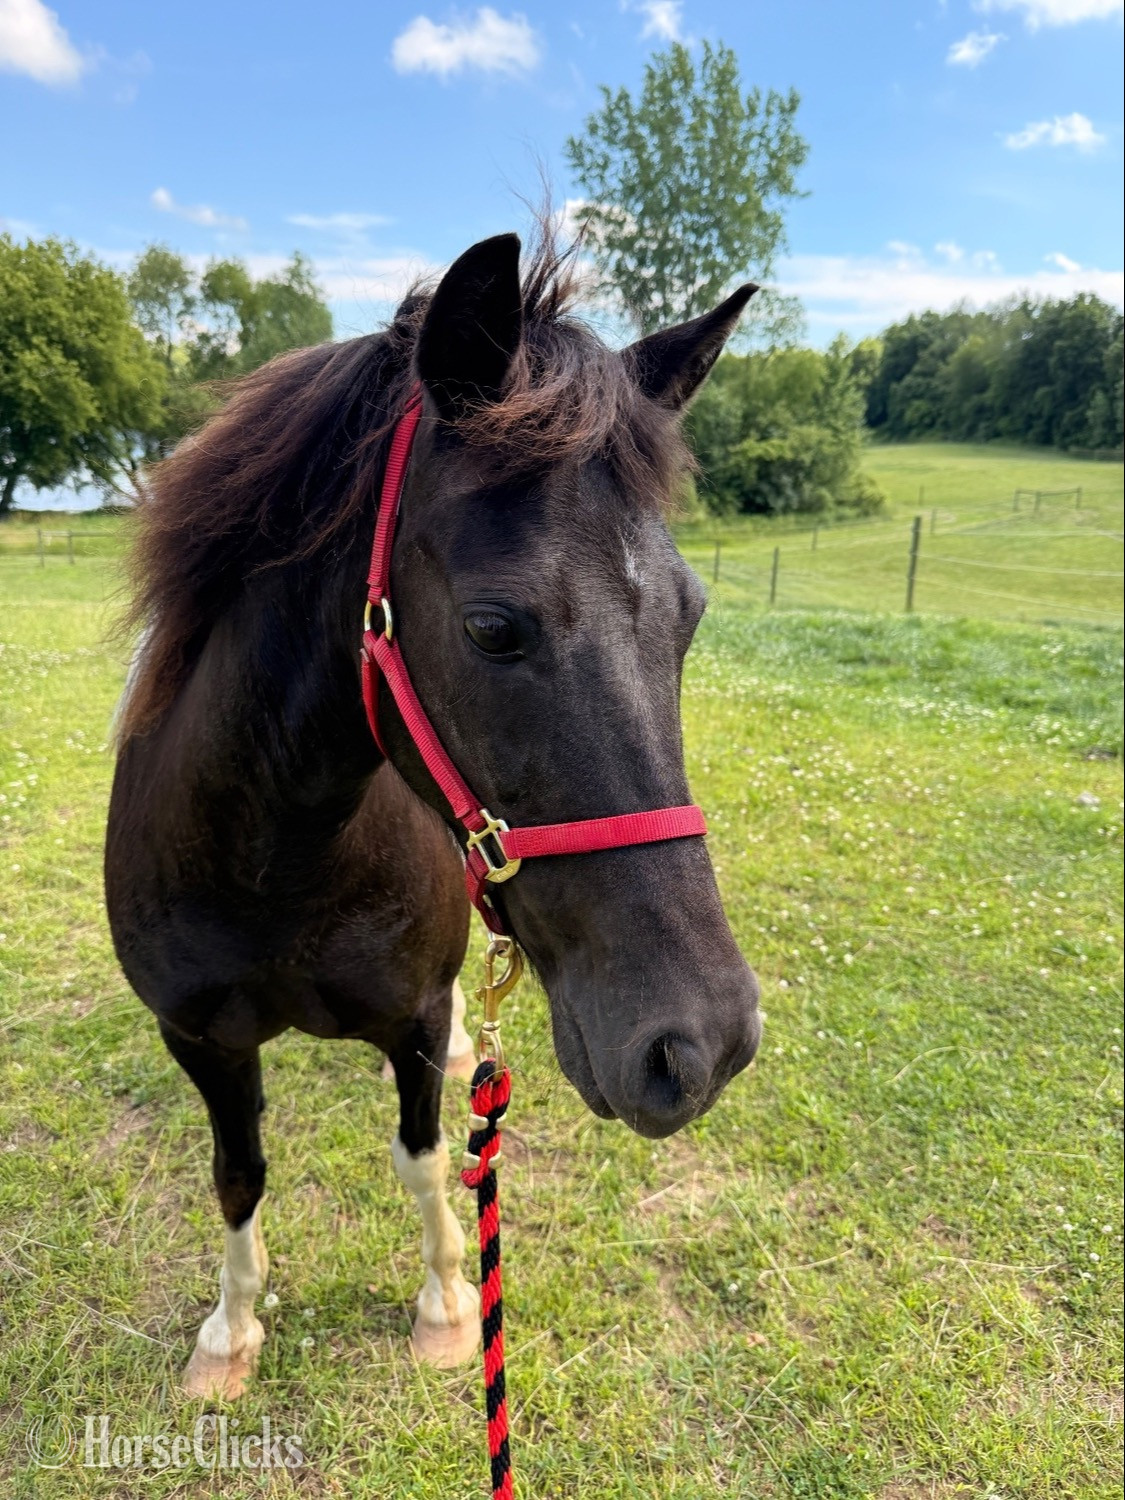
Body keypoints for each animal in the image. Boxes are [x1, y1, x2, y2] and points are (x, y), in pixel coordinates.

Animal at [104, 229, 762, 1401]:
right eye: (493, 627)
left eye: (690, 617)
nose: (705, 1044)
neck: (274, 860)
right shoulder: (197, 1038)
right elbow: (237, 1175)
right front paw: (229, 1332)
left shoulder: (408, 1019)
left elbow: (425, 1160)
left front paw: (448, 1307)